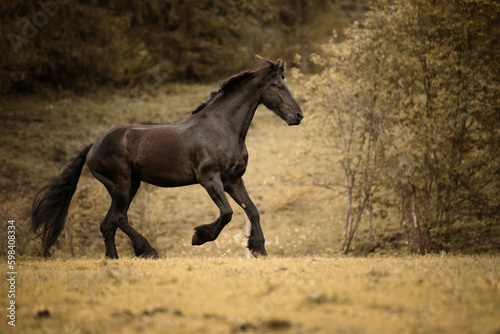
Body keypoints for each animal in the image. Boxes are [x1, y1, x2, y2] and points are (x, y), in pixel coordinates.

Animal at [32, 56, 304, 258]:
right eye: (280, 86)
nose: (298, 116)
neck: (223, 128)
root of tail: (93, 146)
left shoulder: (234, 180)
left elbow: (252, 210)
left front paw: (258, 248)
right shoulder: (210, 179)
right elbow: (227, 212)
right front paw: (199, 237)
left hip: (131, 185)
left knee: (108, 224)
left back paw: (114, 259)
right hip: (120, 184)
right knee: (119, 218)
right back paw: (147, 250)